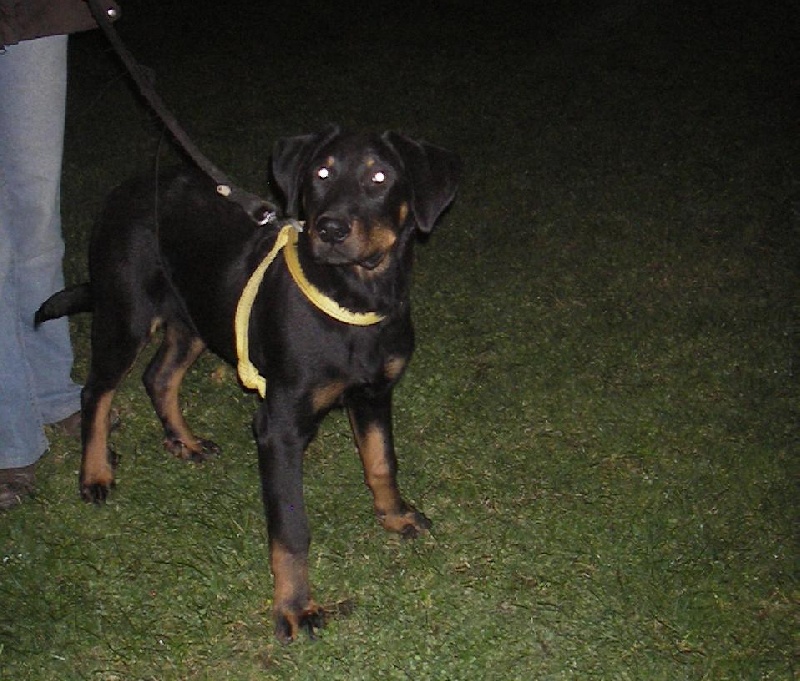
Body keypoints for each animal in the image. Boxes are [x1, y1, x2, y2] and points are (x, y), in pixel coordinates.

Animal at [35, 126, 460, 641]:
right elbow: (291, 528)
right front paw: (295, 607)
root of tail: (126, 189)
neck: (355, 296)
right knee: (96, 391)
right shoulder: (280, 426)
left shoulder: (375, 394)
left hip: (195, 315)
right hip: (126, 313)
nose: (330, 229)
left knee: (159, 376)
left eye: (380, 177)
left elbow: (381, 462)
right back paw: (96, 473)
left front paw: (395, 516)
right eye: (321, 173)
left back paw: (185, 441)